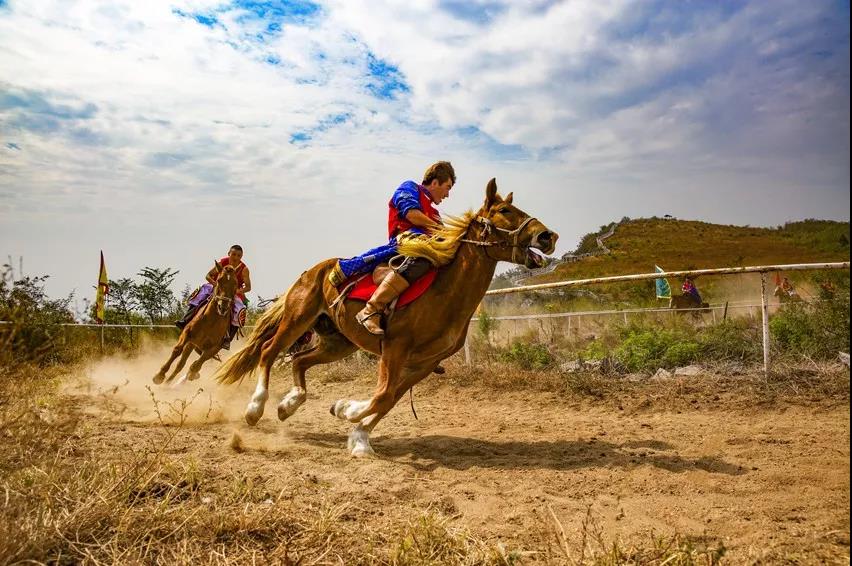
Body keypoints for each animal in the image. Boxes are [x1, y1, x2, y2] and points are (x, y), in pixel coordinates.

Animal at [214, 179, 558, 457]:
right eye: (504, 210)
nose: (548, 236)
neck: (446, 294)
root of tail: (313, 271)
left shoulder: (425, 363)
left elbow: (390, 398)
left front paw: (358, 435)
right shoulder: (395, 348)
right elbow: (381, 395)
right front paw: (347, 410)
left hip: (339, 342)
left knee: (299, 361)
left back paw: (289, 404)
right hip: (297, 320)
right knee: (269, 352)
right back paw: (255, 408)